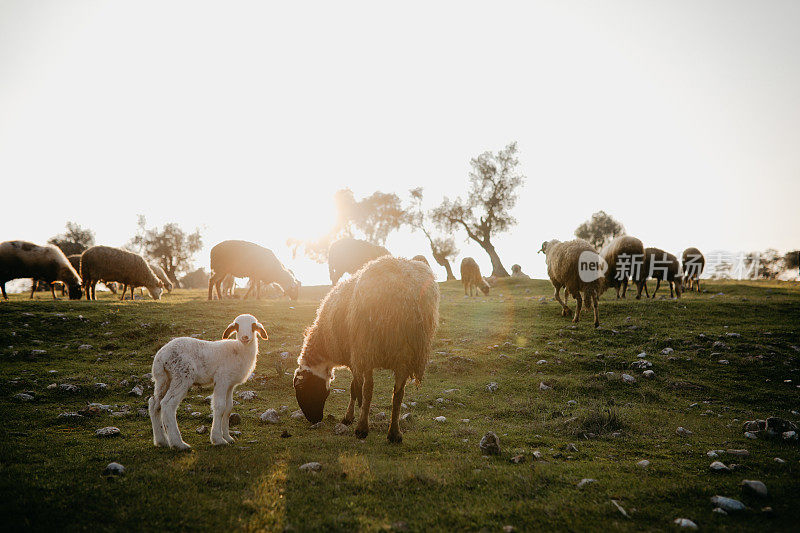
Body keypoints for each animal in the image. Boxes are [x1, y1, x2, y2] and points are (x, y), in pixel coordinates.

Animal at [145, 312, 268, 448]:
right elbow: (220, 406)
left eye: (253, 326)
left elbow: (228, 408)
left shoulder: (230, 384)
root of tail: (161, 356)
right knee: (167, 404)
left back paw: (161, 441)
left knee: (154, 403)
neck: (239, 350)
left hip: (163, 379)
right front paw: (218, 439)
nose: (245, 337)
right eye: (237, 326)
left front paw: (228, 437)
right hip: (182, 376)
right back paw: (178, 443)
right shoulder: (221, 379)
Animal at [294, 256, 440, 442]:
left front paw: (350, 417)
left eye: (301, 389)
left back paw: (362, 428)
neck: (324, 345)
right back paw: (394, 433)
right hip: (407, 353)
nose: (314, 420)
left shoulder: (354, 357)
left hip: (367, 345)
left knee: (369, 388)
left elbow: (355, 387)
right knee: (398, 393)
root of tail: (404, 294)